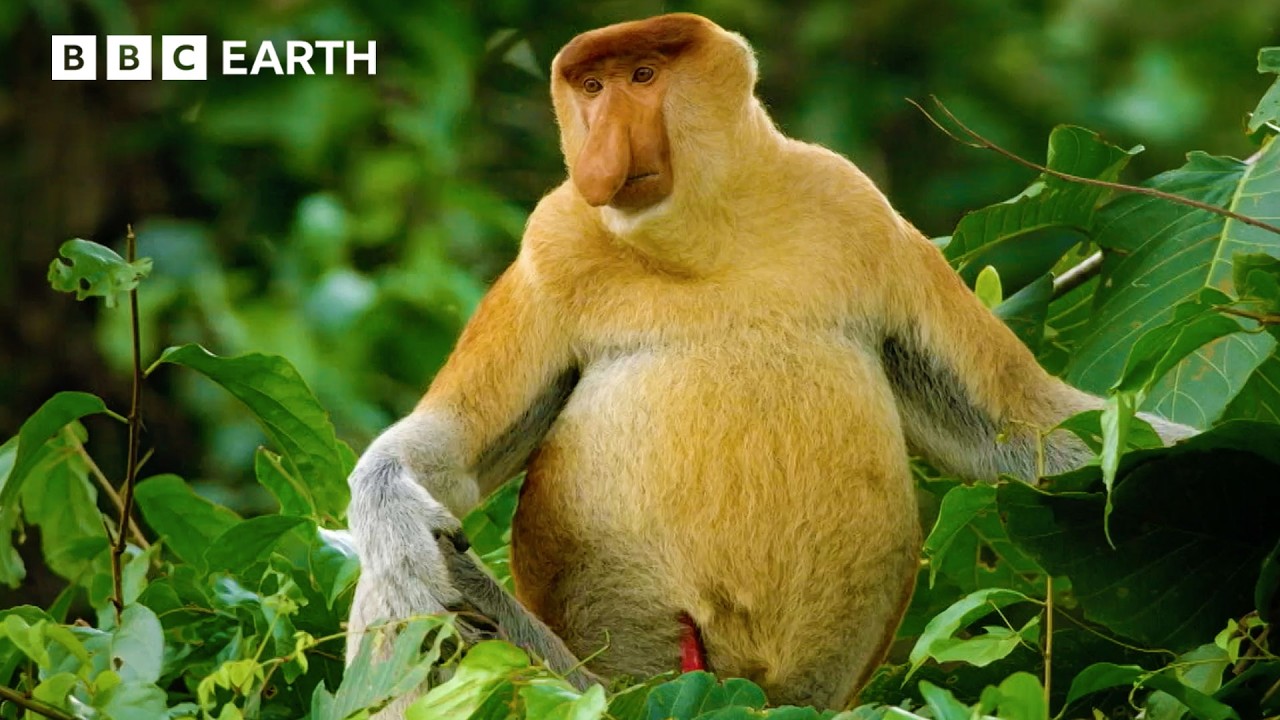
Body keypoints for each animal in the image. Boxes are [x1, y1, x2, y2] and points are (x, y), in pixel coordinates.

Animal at [344, 12, 1195, 716]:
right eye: (591, 87)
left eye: (643, 76)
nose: (599, 152)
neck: (706, 241)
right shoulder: (552, 244)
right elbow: (450, 455)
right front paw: (395, 528)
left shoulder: (855, 206)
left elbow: (1021, 428)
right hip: (579, 689)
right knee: (428, 603)